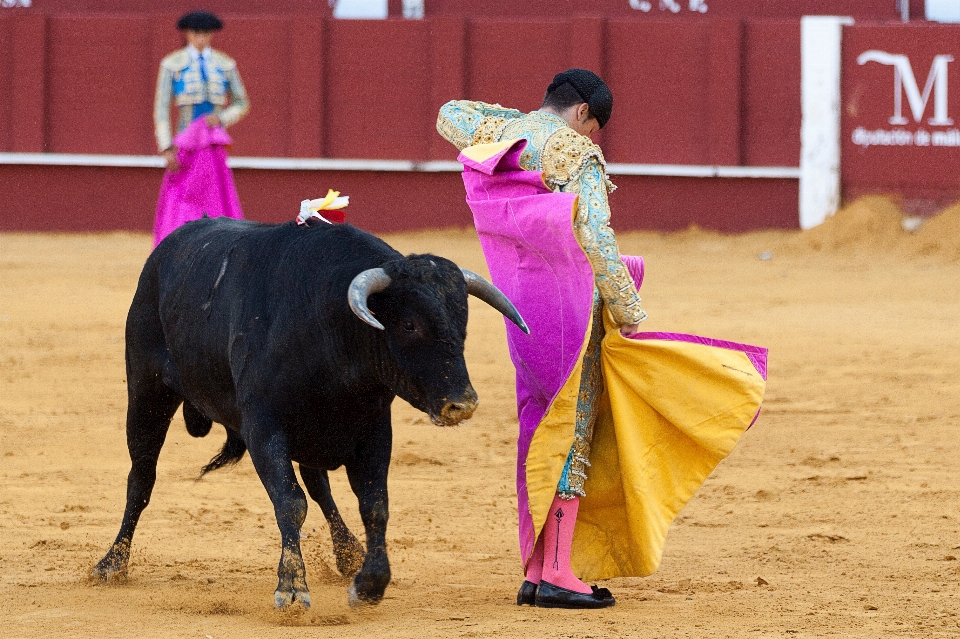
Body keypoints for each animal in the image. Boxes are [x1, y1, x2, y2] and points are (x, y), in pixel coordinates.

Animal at [91, 216, 528, 608]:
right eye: (408, 324)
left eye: (462, 323)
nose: (462, 403)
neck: (327, 325)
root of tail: (167, 248)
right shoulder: (264, 427)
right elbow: (290, 502)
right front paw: (291, 588)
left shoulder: (372, 430)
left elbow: (374, 504)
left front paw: (369, 583)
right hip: (146, 393)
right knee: (141, 478)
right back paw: (112, 564)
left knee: (320, 486)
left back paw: (348, 553)